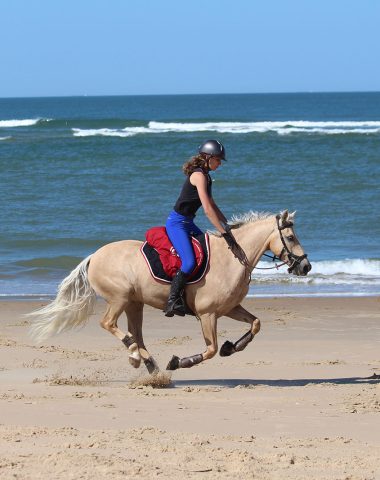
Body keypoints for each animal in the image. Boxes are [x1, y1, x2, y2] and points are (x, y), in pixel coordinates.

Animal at [29, 211, 312, 376]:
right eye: (290, 236)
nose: (306, 266)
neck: (232, 258)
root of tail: (93, 256)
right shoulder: (208, 314)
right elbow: (210, 349)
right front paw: (180, 362)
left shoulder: (229, 308)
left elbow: (255, 323)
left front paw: (232, 347)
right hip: (120, 298)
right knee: (110, 324)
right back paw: (136, 356)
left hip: (134, 303)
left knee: (136, 334)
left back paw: (149, 365)